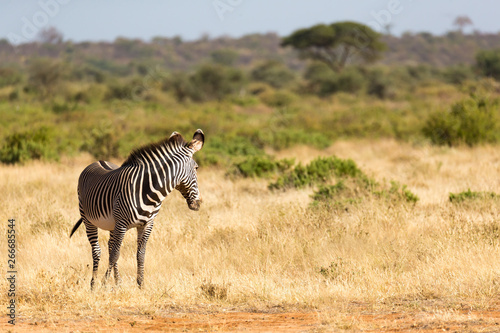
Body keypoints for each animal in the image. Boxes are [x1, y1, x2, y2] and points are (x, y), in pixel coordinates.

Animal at [69, 129, 204, 288]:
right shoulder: (121, 223)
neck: (149, 191)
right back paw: (93, 284)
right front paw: (104, 283)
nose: (198, 203)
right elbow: (115, 254)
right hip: (88, 219)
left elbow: (140, 254)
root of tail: (98, 161)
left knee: (109, 246)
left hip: (112, 224)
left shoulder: (147, 224)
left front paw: (141, 284)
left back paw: (118, 282)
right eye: (196, 168)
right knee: (97, 250)